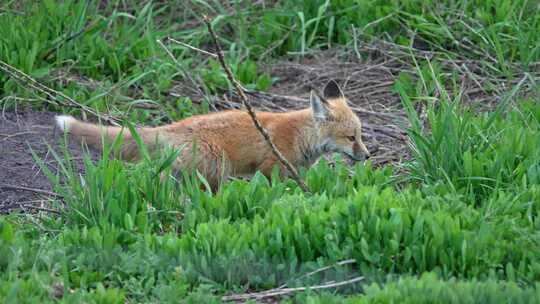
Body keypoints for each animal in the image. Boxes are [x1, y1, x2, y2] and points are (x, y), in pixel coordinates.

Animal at [54, 81, 370, 189]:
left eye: (360, 135)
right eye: (351, 137)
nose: (368, 156)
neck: (300, 136)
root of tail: (172, 126)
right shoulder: (271, 168)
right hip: (218, 167)